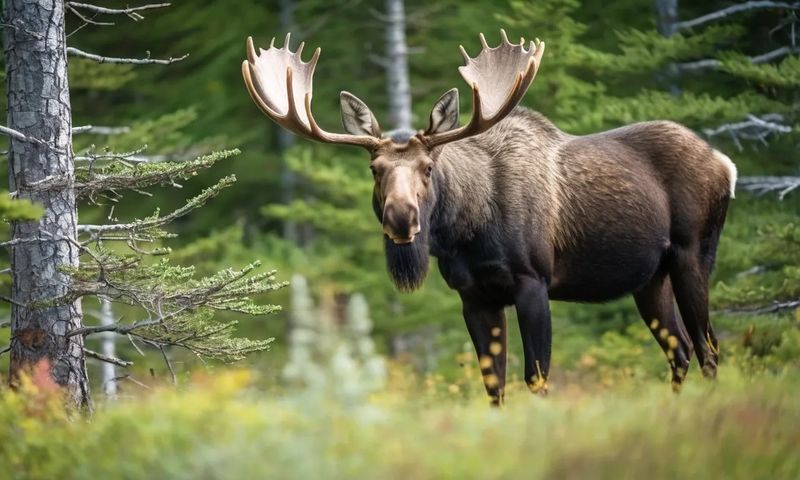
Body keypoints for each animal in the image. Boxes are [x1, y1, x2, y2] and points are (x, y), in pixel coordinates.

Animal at [242, 31, 736, 404]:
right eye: (375, 169)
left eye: (428, 167)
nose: (401, 218)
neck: (467, 232)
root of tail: (725, 163)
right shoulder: (474, 294)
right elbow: (493, 383)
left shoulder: (533, 281)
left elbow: (536, 377)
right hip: (649, 278)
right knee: (681, 351)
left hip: (693, 254)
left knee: (709, 347)